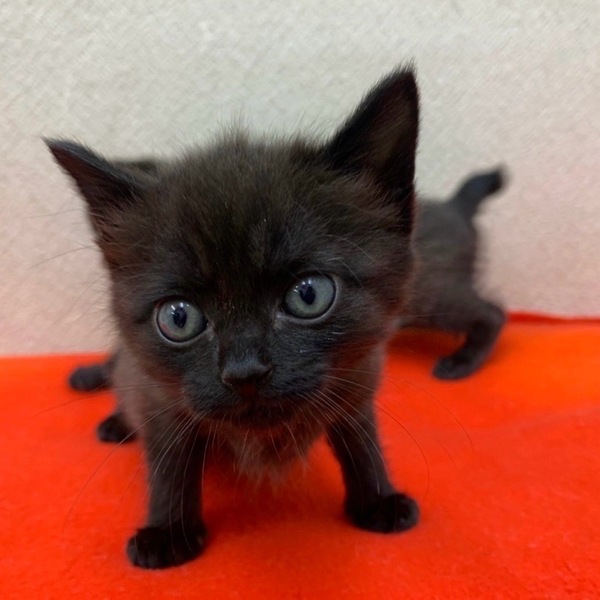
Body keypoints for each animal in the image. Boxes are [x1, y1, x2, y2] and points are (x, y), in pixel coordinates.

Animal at [47, 68, 421, 569]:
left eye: (309, 295)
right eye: (179, 318)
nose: (246, 372)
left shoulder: (359, 377)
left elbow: (360, 438)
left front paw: (377, 498)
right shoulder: (161, 397)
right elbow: (170, 463)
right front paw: (168, 532)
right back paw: (116, 423)